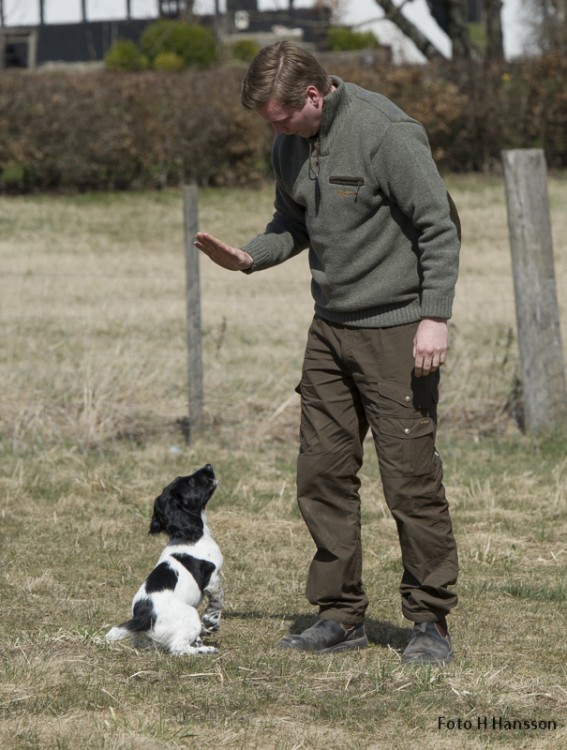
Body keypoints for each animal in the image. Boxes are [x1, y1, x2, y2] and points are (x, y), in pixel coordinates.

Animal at [105, 468, 224, 656]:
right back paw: (206, 650)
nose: (209, 466)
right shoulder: (212, 579)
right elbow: (218, 600)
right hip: (190, 614)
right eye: (191, 482)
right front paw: (212, 620)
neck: (188, 537)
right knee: (177, 648)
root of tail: (144, 618)